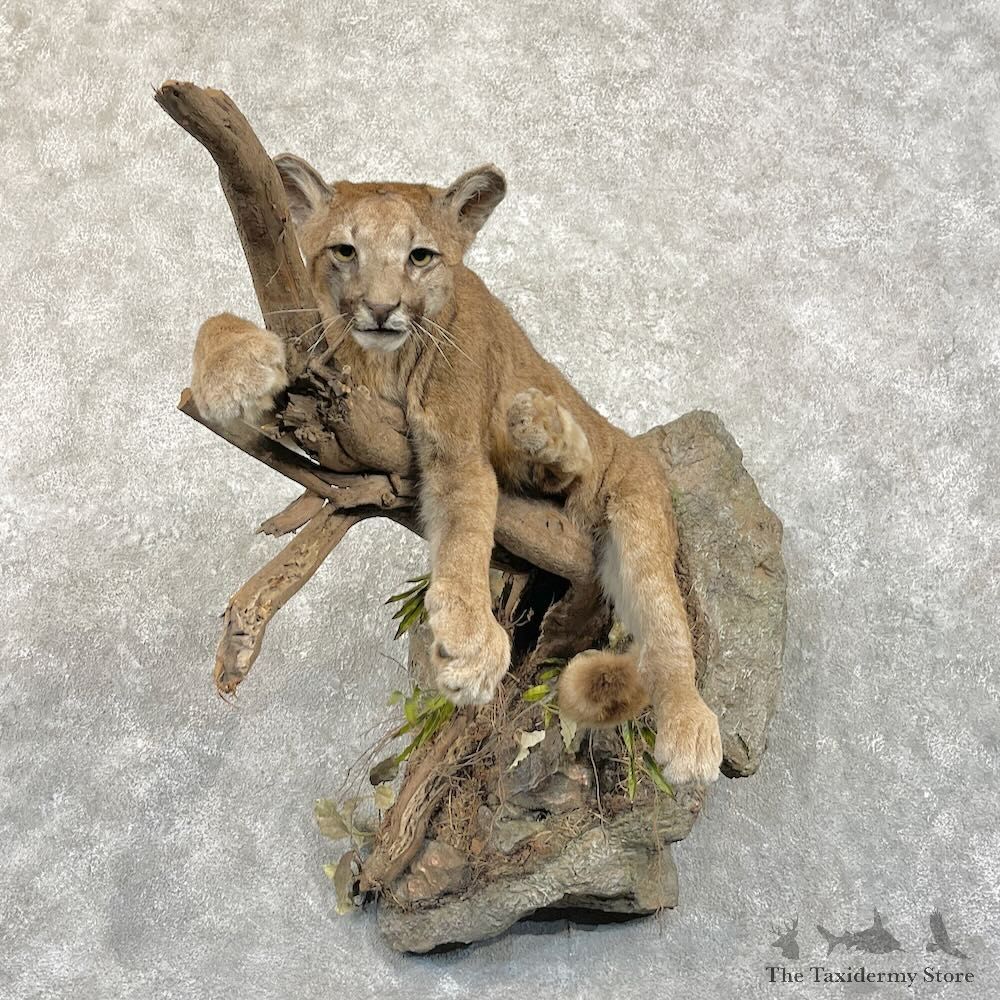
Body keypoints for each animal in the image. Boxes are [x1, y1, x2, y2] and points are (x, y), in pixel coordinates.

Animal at [190, 155, 723, 785]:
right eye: (345, 251)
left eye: (420, 256)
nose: (380, 309)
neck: (380, 363)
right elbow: (216, 320)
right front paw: (231, 373)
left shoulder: (457, 447)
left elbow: (467, 526)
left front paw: (469, 642)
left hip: (638, 512)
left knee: (667, 623)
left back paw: (691, 732)